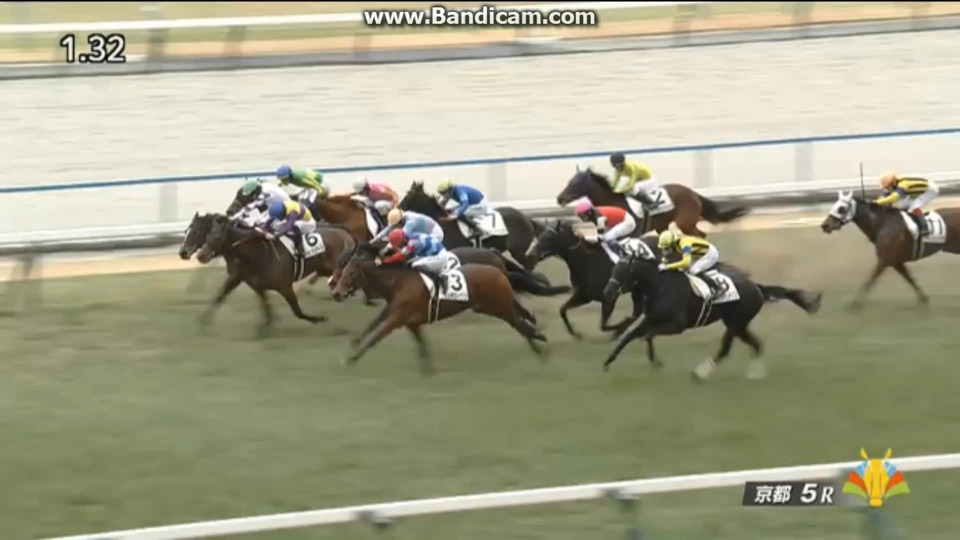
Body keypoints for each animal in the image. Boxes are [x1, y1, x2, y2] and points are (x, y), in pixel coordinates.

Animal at [194, 214, 356, 334]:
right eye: (207, 237)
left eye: (216, 237)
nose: (200, 256)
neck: (258, 253)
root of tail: (346, 233)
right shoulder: (255, 285)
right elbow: (266, 310)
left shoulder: (285, 287)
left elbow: (297, 312)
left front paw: (319, 319)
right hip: (326, 269)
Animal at [330, 243, 547, 375]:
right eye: (343, 266)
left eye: (350, 271)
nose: (336, 292)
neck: (398, 282)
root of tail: (498, 269)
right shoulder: (409, 321)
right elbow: (420, 345)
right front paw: (428, 371)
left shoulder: (397, 318)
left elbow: (375, 337)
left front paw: (350, 359)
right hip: (493, 306)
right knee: (520, 320)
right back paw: (537, 339)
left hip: (498, 306)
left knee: (519, 323)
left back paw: (540, 341)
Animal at [555, 167, 750, 237]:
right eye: (569, 181)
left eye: (575, 183)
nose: (559, 198)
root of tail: (693, 193)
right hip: (662, 225)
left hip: (685, 223)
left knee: (701, 235)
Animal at [600, 249, 822, 381]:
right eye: (614, 268)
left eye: (623, 272)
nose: (607, 292)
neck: (660, 285)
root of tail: (757, 287)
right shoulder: (650, 318)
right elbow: (629, 336)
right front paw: (607, 362)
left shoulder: (677, 325)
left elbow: (646, 335)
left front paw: (656, 361)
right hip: (739, 324)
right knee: (756, 345)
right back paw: (755, 375)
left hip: (736, 323)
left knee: (725, 349)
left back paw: (700, 373)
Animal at [820, 191, 960, 309]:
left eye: (841, 208)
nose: (824, 225)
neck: (882, 224)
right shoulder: (895, 262)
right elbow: (909, 278)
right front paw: (924, 299)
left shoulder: (884, 260)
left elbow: (870, 280)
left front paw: (855, 304)